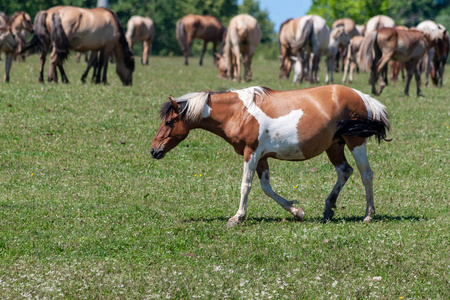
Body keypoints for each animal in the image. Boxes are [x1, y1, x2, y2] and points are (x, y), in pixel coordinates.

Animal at [151, 84, 390, 227]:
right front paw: (297, 211)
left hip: (356, 142)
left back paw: (368, 214)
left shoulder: (251, 153)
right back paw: (328, 207)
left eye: (169, 122)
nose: (154, 150)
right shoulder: (262, 158)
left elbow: (245, 185)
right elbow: (266, 188)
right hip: (334, 146)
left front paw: (237, 217)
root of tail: (362, 97)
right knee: (344, 171)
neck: (239, 112)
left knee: (366, 174)